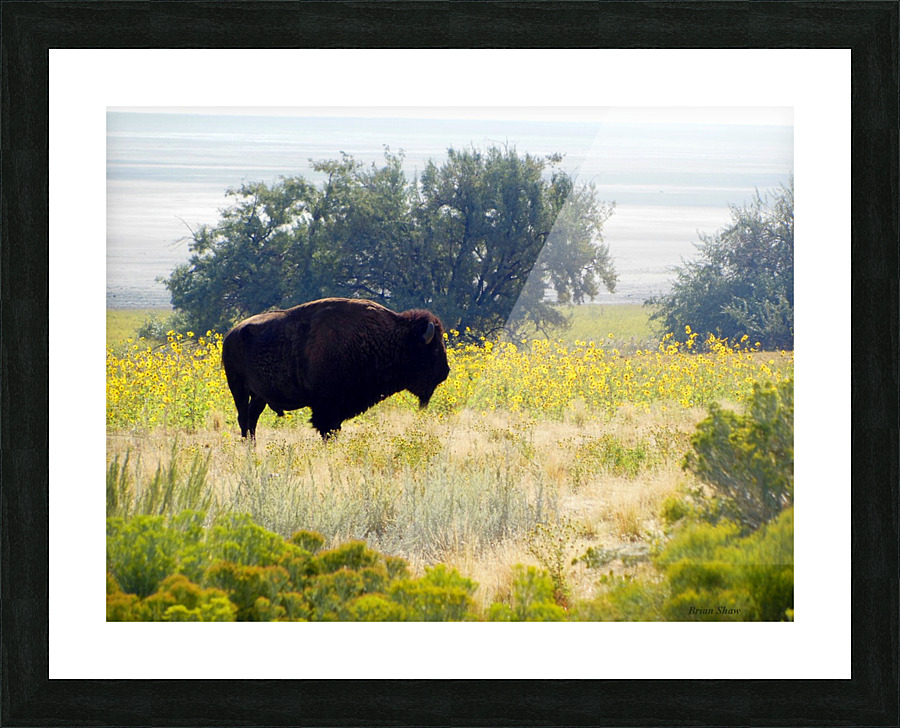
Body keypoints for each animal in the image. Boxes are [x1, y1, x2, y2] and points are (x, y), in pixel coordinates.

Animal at [221, 297, 450, 440]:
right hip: (238, 387)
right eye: (434, 349)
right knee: (244, 418)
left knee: (252, 419)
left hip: (259, 395)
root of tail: (231, 334)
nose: (445, 372)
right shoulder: (326, 408)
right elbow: (328, 430)